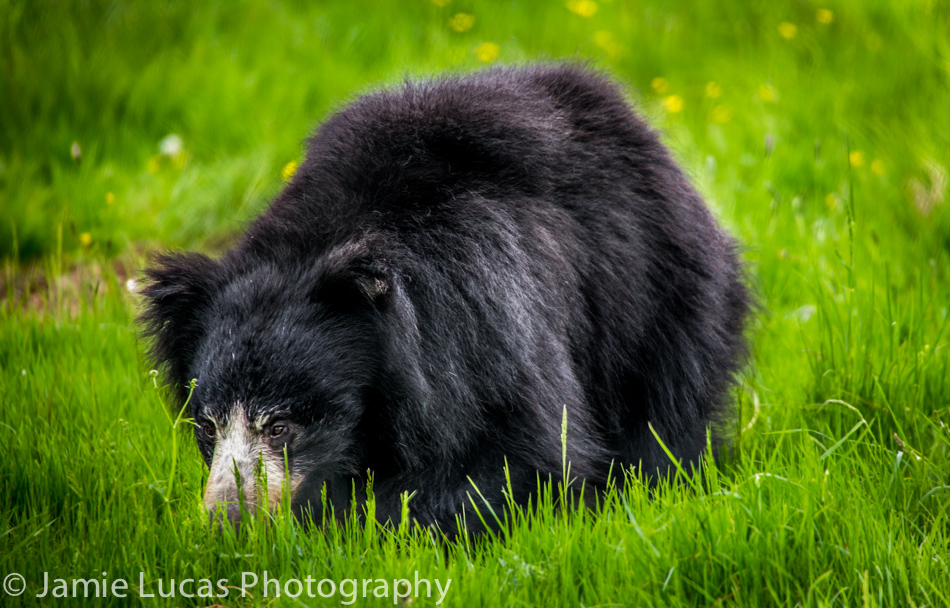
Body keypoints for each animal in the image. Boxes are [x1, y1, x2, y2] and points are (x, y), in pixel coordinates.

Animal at [140, 64, 751, 535]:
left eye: (281, 427)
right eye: (207, 427)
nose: (225, 522)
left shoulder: (482, 320)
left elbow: (523, 453)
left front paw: (359, 524)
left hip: (654, 289)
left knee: (665, 408)